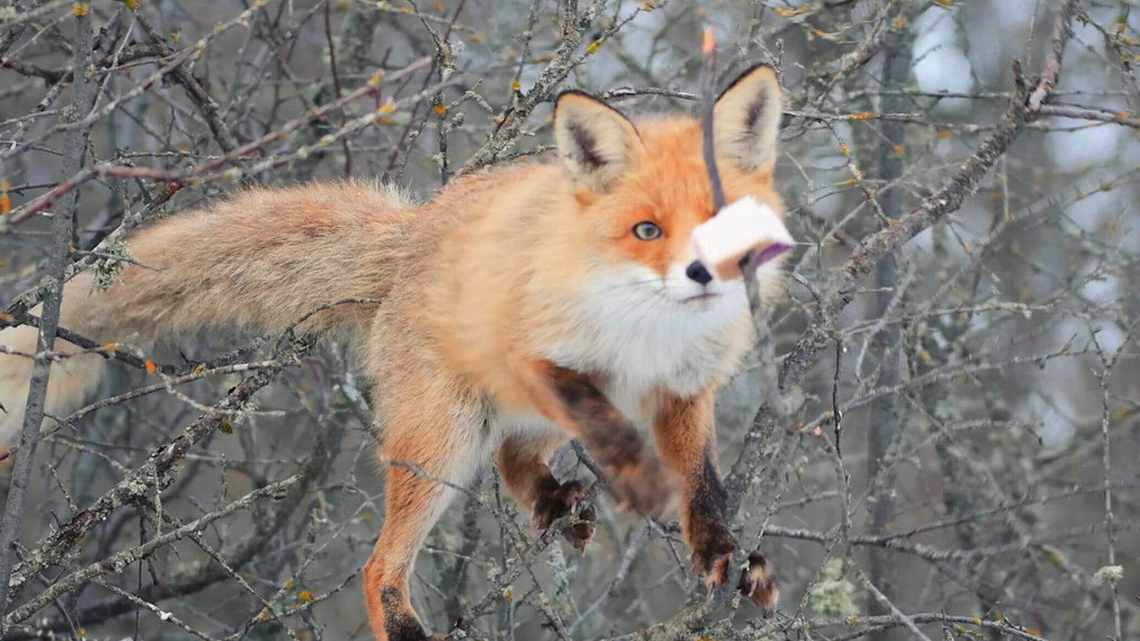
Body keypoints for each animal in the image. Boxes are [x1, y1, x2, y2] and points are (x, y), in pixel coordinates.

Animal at [0, 65, 784, 638]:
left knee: (513, 455)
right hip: (443, 440)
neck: (645, 337)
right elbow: (609, 427)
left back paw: (555, 499)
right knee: (383, 564)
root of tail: (416, 229)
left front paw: (722, 554)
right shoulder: (538, 357)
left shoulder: (688, 389)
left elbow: (703, 485)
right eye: (647, 230)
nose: (702, 276)